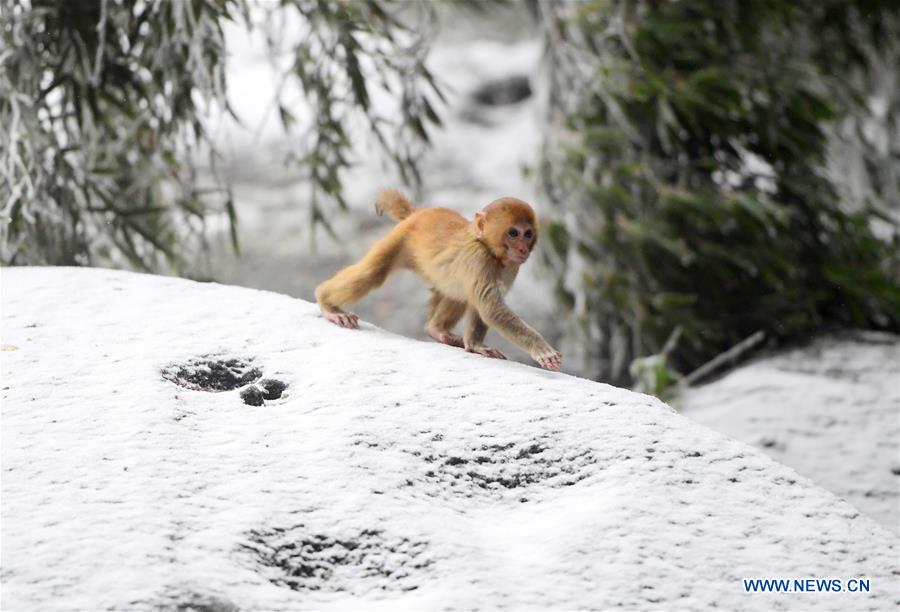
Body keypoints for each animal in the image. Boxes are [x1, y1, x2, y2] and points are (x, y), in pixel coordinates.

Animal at [312, 189, 560, 370]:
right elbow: (491, 308)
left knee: (459, 291)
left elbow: (480, 305)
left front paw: (475, 345)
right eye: (513, 233)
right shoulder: (479, 260)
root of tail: (419, 212)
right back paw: (328, 305)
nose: (523, 249)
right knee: (372, 273)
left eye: (528, 234)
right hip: (400, 239)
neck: (488, 248)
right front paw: (543, 350)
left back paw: (436, 329)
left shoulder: (509, 269)